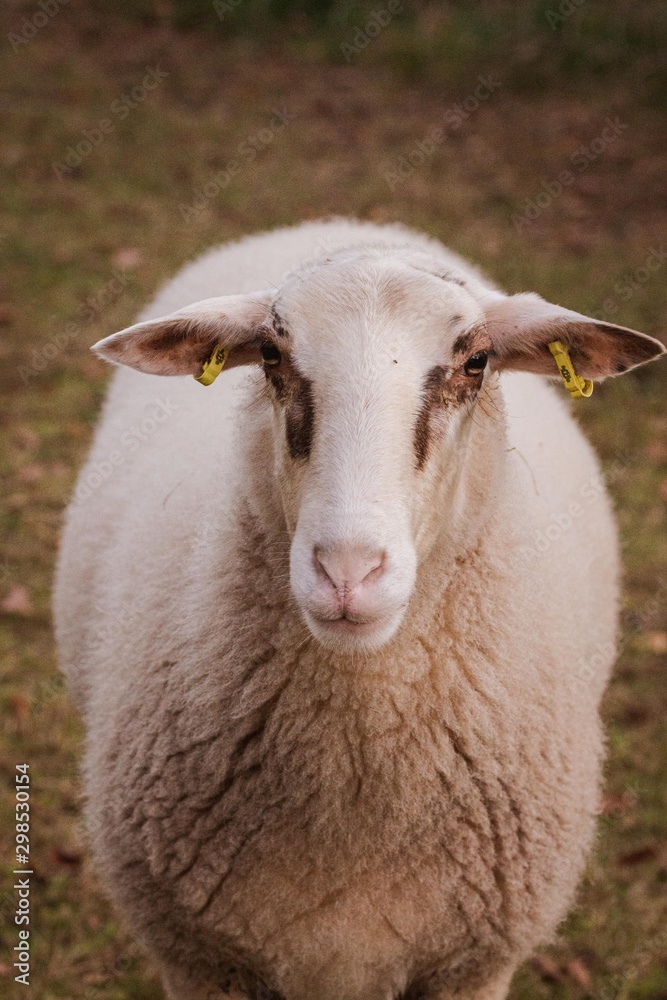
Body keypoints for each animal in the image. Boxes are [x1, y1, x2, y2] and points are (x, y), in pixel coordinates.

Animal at [54, 219, 665, 1000]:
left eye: (476, 361)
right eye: (271, 355)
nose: (347, 572)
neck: (356, 768)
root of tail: (339, 224)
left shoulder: (471, 967)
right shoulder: (200, 961)